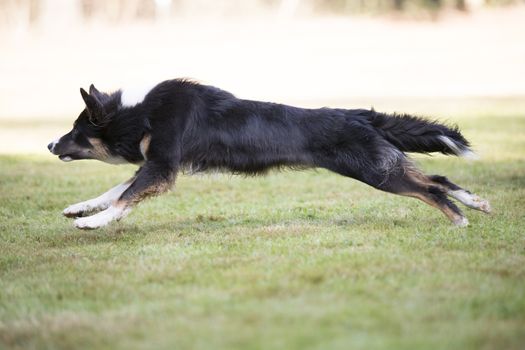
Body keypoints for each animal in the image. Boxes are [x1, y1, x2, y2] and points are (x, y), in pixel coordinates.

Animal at [47, 80, 490, 231]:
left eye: (77, 132)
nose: (50, 145)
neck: (141, 115)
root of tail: (357, 113)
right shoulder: (159, 164)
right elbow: (114, 191)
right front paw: (79, 208)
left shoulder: (161, 167)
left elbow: (124, 197)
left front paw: (92, 223)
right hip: (380, 166)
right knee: (438, 179)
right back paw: (476, 203)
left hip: (374, 171)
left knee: (431, 189)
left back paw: (459, 219)